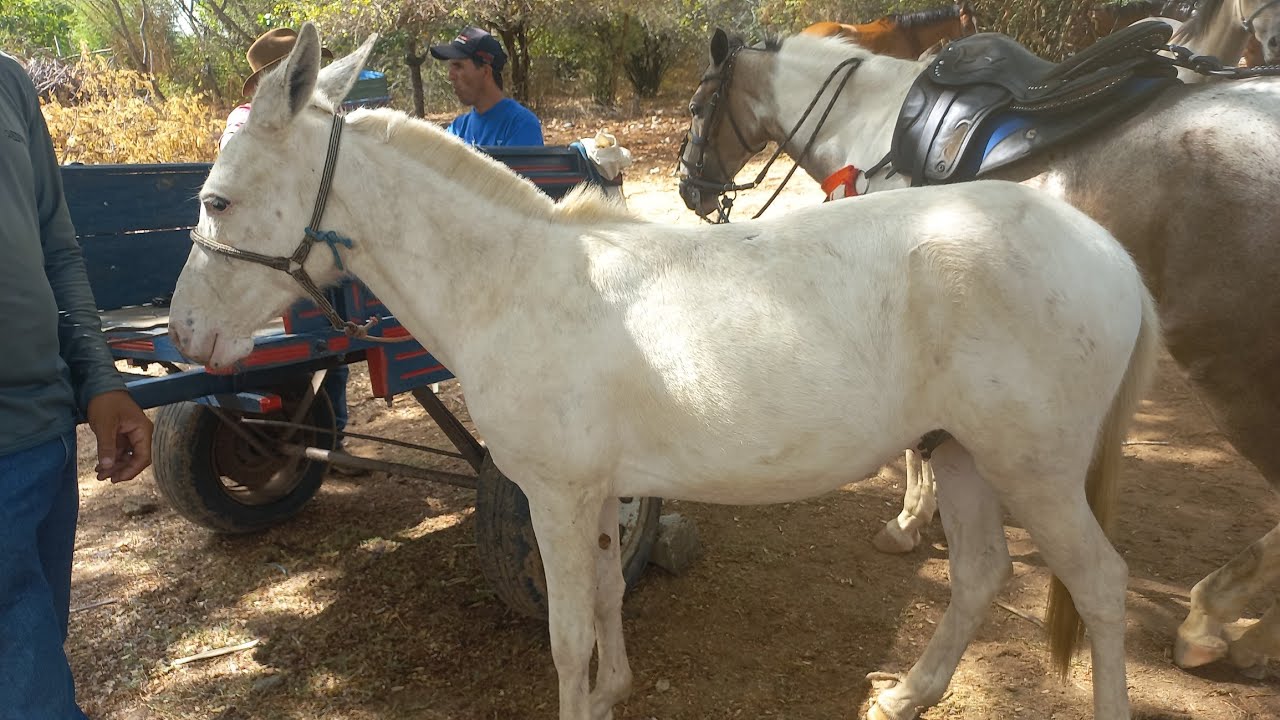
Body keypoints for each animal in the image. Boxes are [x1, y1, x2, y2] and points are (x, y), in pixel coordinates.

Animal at [171, 23, 1160, 720]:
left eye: (216, 200)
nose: (184, 333)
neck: (515, 283)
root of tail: (1108, 250)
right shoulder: (603, 490)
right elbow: (610, 595)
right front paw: (615, 691)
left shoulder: (555, 495)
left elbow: (567, 633)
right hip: (958, 449)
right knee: (982, 574)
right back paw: (909, 691)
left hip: (1034, 468)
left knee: (1101, 587)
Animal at [677, 28, 1280, 675]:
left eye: (698, 106)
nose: (689, 188)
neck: (870, 123)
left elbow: (915, 448)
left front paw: (910, 518)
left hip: (1235, 378)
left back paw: (1213, 619)